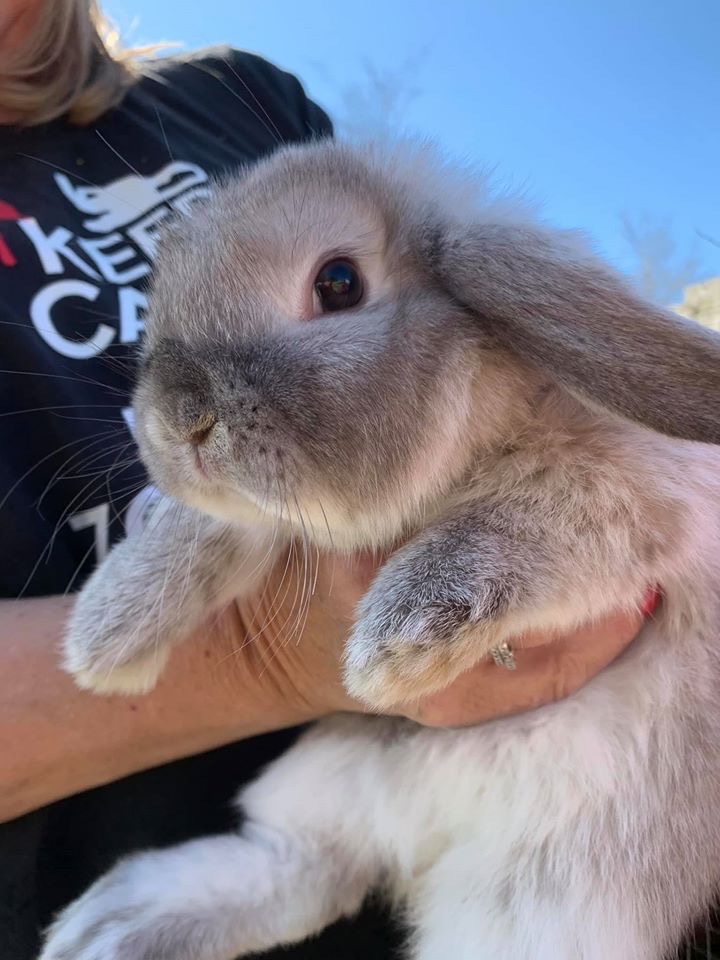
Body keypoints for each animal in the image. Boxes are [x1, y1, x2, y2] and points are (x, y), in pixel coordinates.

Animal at [40, 138, 720, 960]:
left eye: (338, 283)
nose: (180, 419)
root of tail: (415, 840)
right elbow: (208, 526)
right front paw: (103, 641)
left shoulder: (633, 488)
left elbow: (519, 521)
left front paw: (396, 645)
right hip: (323, 784)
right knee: (303, 866)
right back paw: (112, 925)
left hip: (551, 898)